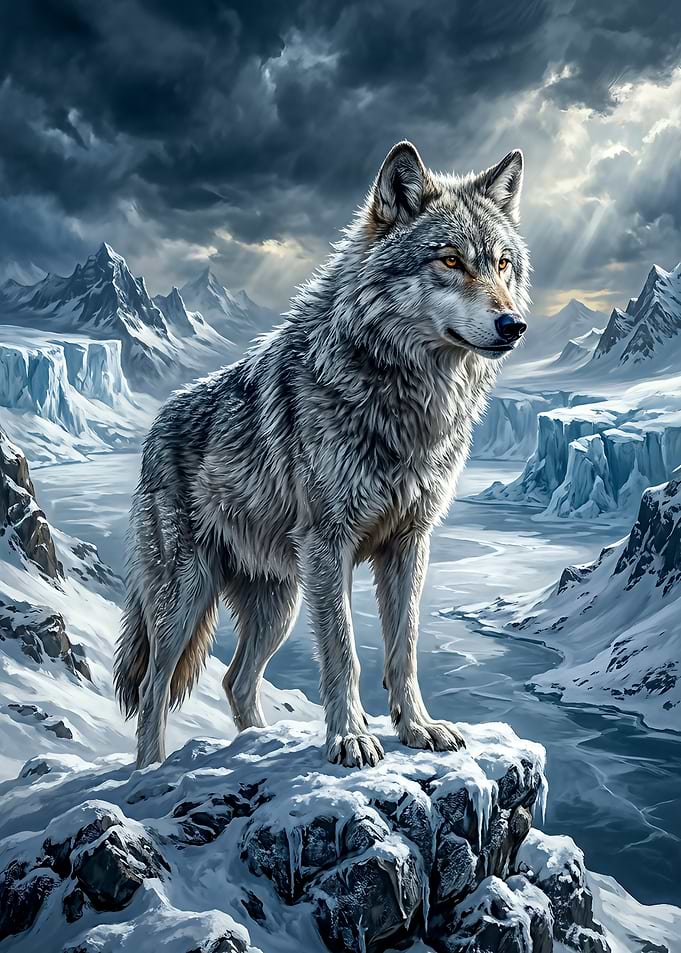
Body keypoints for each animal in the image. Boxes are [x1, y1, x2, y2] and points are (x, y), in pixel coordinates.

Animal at [114, 140, 530, 770]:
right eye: (451, 261)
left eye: (503, 264)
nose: (515, 324)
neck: (404, 398)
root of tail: (154, 426)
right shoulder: (330, 544)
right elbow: (344, 653)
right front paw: (350, 737)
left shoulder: (410, 543)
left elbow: (404, 650)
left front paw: (418, 728)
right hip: (188, 598)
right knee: (153, 687)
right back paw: (151, 771)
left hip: (279, 604)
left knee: (235, 679)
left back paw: (255, 743)